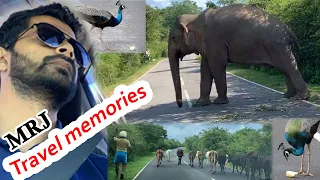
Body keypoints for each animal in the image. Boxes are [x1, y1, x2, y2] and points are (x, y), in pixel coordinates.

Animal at [169, 3, 308, 108]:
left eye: (173, 38)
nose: (180, 105)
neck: (194, 17)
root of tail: (286, 27)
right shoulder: (208, 44)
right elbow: (205, 68)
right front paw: (201, 104)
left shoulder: (214, 40)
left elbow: (216, 66)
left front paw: (219, 102)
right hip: (278, 45)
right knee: (285, 68)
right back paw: (288, 96)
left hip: (276, 44)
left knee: (288, 65)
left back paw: (300, 97)